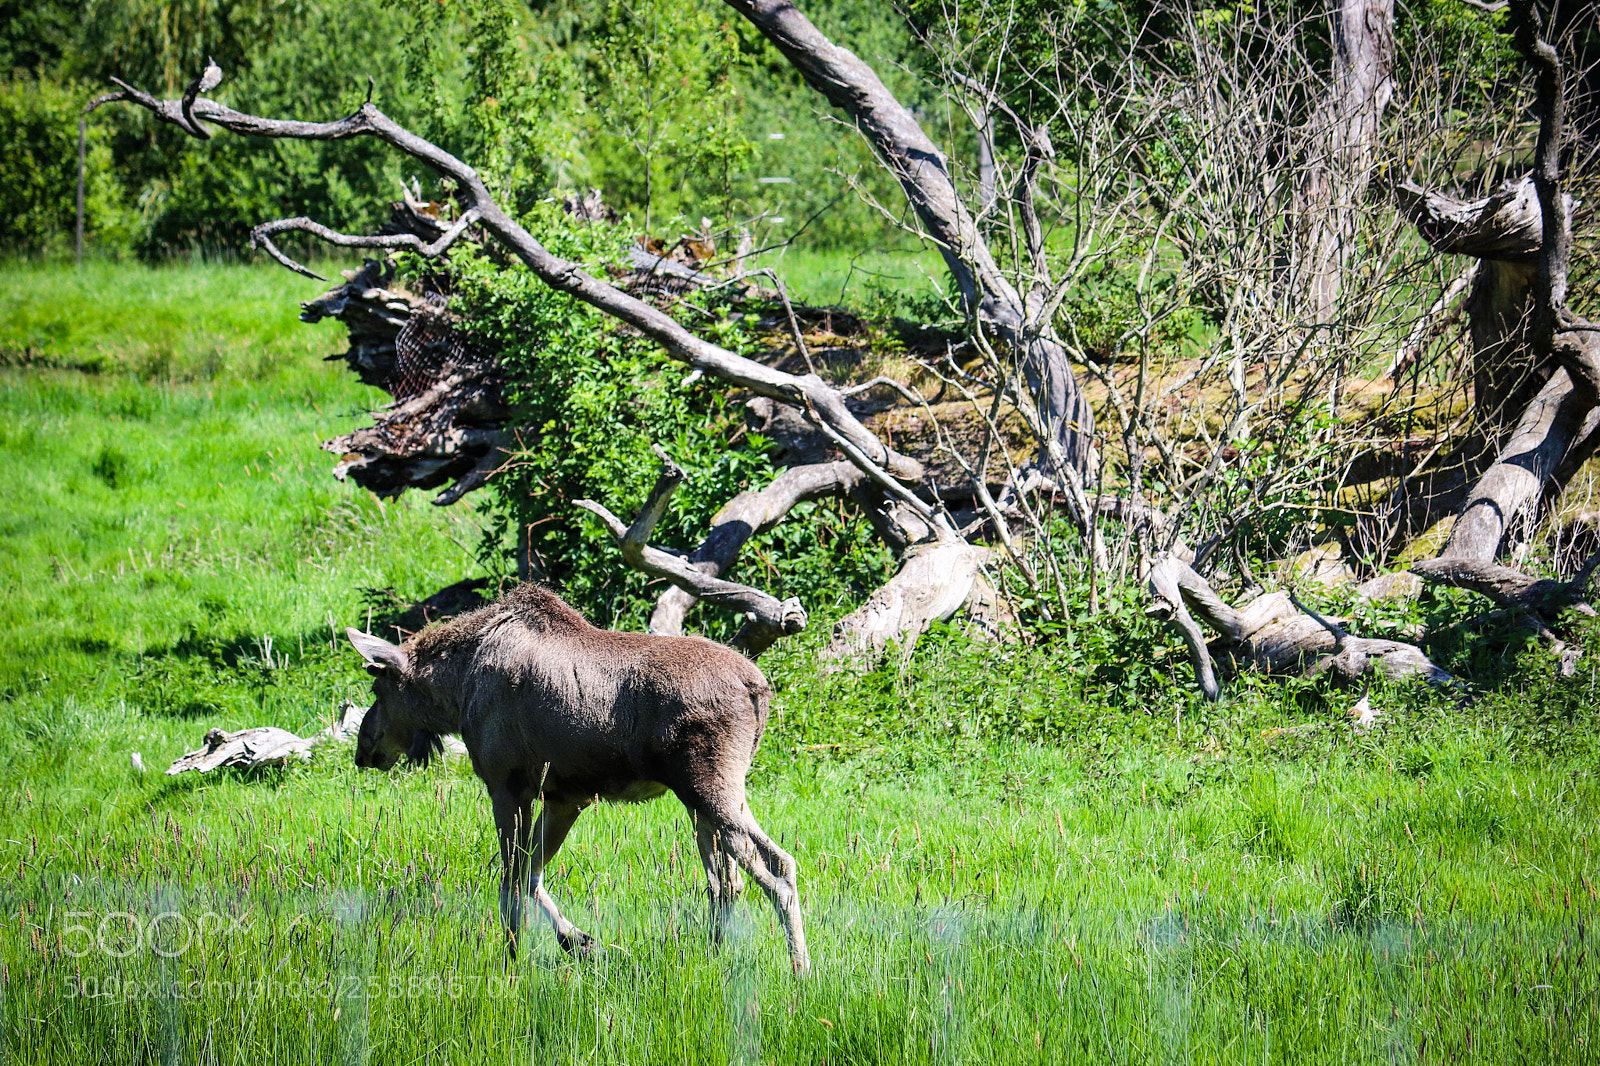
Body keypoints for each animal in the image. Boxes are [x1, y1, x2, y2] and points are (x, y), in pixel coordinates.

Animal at [345, 583, 810, 973]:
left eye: (377, 690)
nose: (363, 749)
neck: (457, 689)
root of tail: (757, 686)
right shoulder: (566, 795)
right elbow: (531, 873)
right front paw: (579, 940)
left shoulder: (506, 784)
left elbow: (510, 880)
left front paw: (512, 959)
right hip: (711, 798)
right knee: (734, 879)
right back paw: (717, 956)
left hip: (708, 786)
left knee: (771, 871)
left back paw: (800, 969)